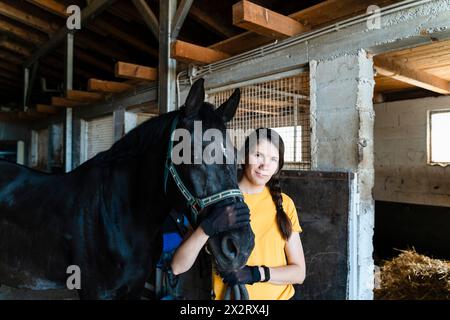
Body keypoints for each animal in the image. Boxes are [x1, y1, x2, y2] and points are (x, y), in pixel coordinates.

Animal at [0, 79, 253, 298]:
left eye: (235, 156)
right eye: (191, 155)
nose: (241, 245)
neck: (119, 215)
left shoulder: (134, 288)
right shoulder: (95, 292)